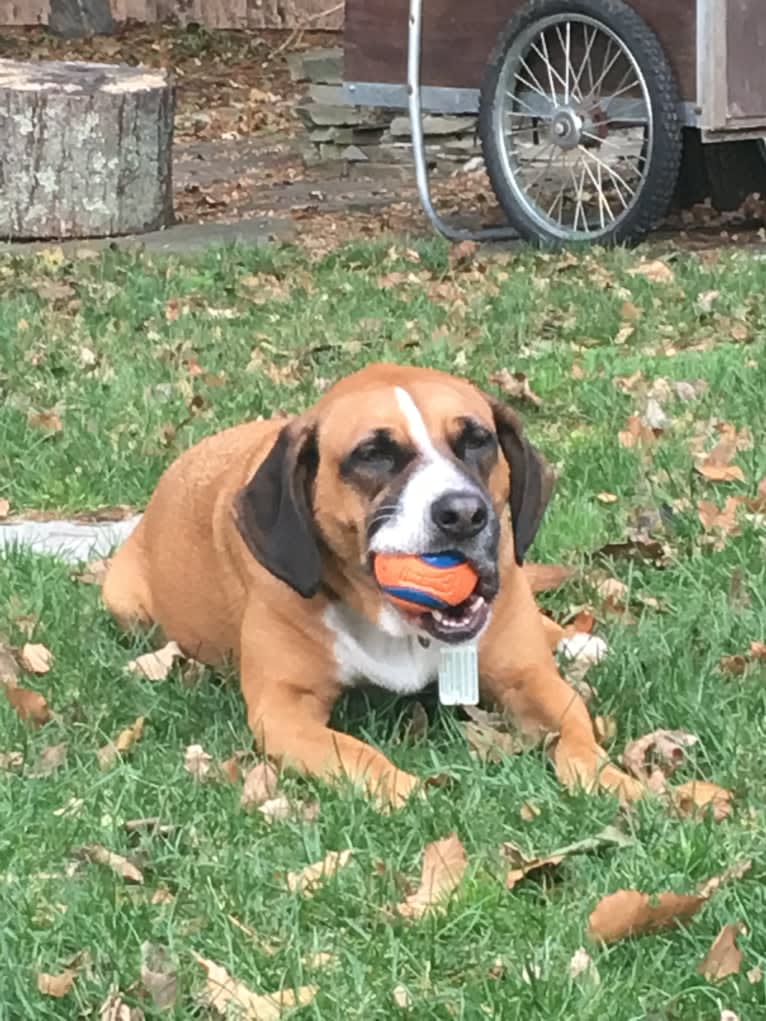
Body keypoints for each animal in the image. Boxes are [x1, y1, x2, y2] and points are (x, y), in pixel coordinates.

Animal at [102, 365, 641, 804]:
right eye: (373, 454)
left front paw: (613, 780)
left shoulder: (527, 678)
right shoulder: (283, 709)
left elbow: (576, 728)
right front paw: (407, 791)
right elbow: (353, 754)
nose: (464, 514)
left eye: (477, 440)